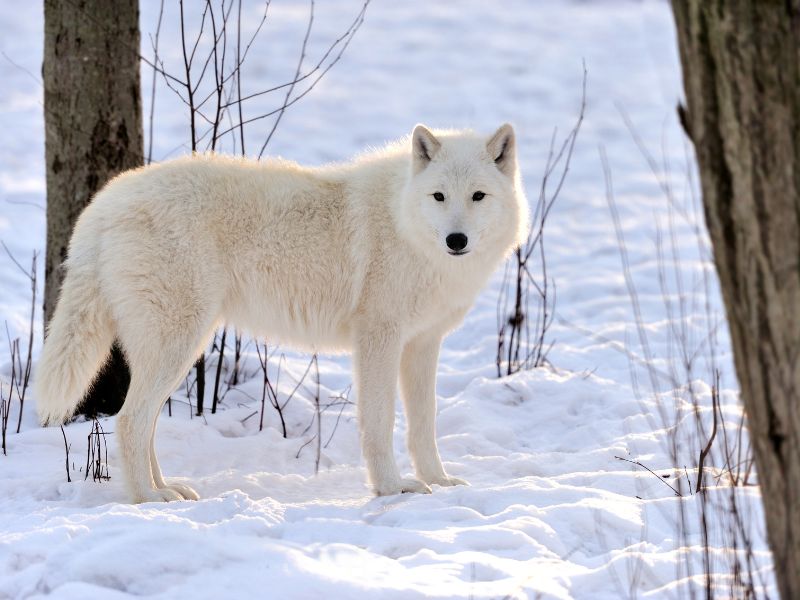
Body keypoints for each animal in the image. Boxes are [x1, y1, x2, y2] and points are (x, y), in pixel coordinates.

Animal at [36, 124, 528, 503]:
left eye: (478, 196)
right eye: (439, 196)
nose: (456, 240)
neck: (403, 222)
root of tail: (103, 204)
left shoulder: (423, 344)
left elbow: (424, 425)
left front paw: (437, 481)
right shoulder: (379, 339)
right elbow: (379, 422)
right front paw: (391, 489)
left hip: (176, 349)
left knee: (143, 424)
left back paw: (167, 489)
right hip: (179, 344)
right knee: (129, 421)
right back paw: (148, 499)